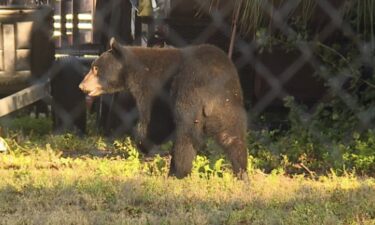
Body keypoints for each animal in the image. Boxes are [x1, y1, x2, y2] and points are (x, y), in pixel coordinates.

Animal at [79, 38, 250, 179]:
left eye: (95, 68)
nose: (82, 85)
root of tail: (214, 87)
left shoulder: (153, 87)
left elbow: (155, 121)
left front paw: (144, 142)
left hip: (189, 95)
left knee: (185, 137)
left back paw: (177, 172)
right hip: (229, 107)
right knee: (233, 138)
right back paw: (242, 173)